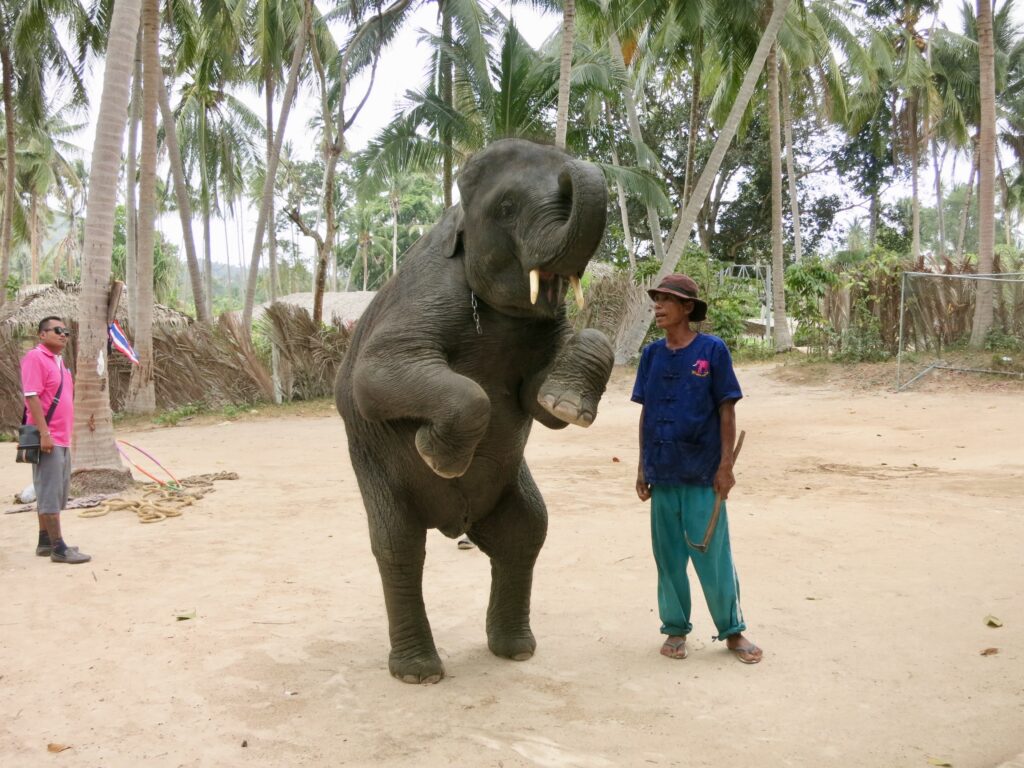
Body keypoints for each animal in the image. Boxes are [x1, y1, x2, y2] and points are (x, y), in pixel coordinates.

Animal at [335, 138, 610, 684]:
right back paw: (419, 673)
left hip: (509, 490)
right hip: (376, 475)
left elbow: (542, 401)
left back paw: (515, 650)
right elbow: (374, 377)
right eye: (506, 208)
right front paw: (437, 456)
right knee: (398, 546)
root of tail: (455, 525)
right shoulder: (426, 294)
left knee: (526, 531)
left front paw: (567, 406)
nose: (572, 166)